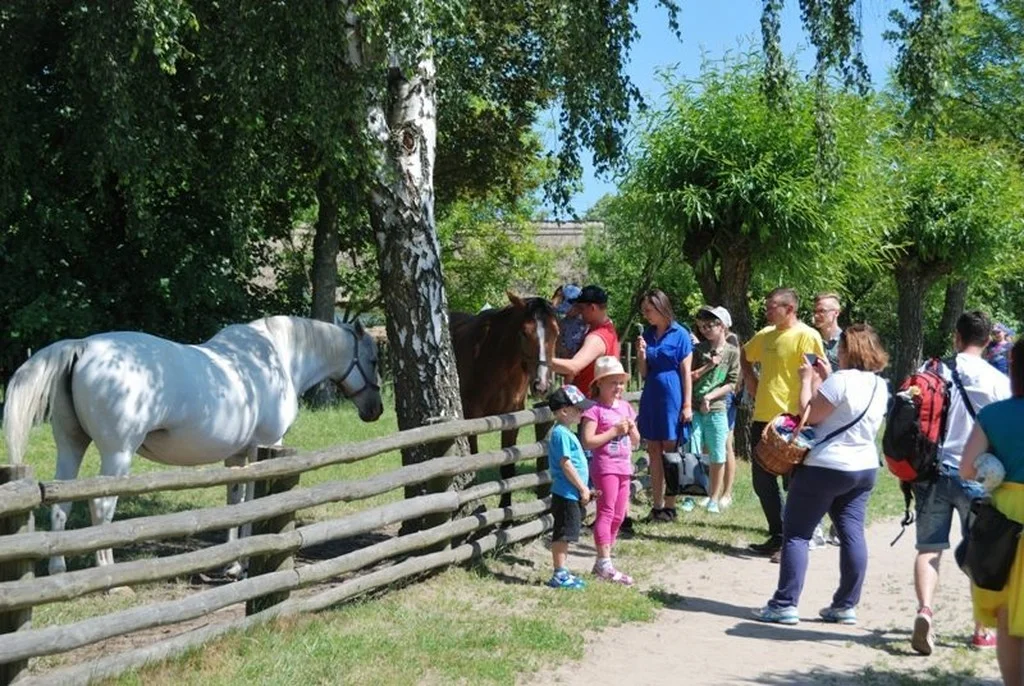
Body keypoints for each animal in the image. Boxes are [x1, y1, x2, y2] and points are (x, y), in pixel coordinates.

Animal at [1, 319, 385, 577]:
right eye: (374, 360)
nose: (375, 410)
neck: (279, 359)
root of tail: (81, 346)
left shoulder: (237, 456)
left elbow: (236, 504)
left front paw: (233, 564)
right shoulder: (266, 448)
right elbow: (254, 504)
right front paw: (243, 566)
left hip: (71, 446)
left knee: (61, 505)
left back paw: (59, 571)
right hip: (117, 453)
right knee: (101, 507)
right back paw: (110, 579)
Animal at [450, 292, 561, 507]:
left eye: (556, 332)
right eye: (524, 333)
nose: (541, 385)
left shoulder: (512, 419)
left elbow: (508, 467)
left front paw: (506, 508)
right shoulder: (470, 421)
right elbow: (473, 462)